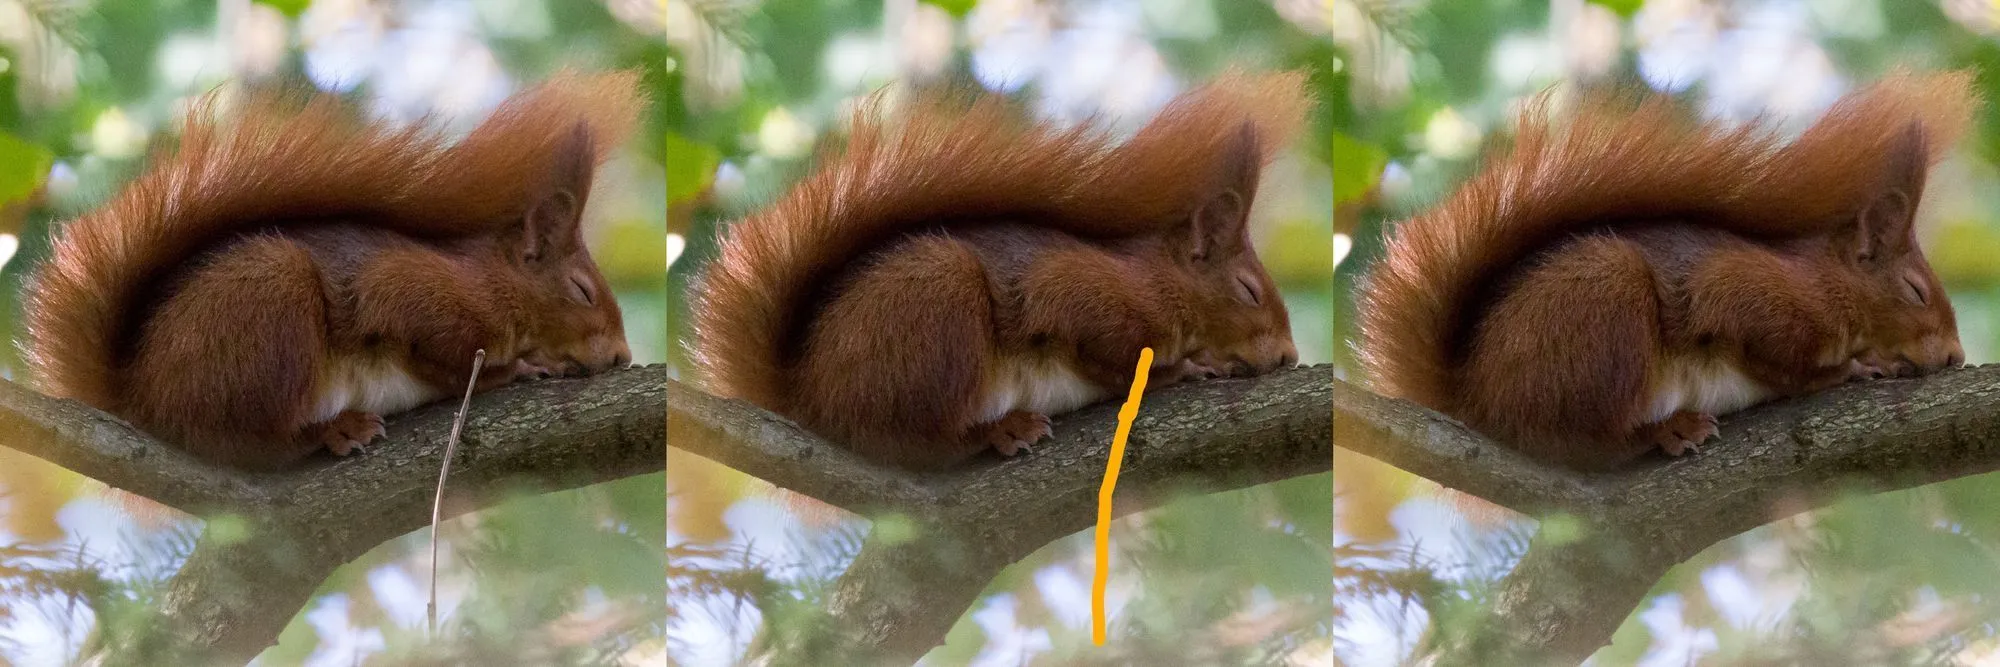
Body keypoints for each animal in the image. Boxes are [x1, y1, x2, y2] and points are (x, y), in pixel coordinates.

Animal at [19, 69, 644, 471]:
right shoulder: (418, 294)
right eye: (582, 291)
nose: (622, 357)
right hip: (268, 302)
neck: (495, 283)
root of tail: (136, 395)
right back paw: (333, 430)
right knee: (244, 442)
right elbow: (441, 358)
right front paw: (521, 369)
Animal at [689, 70, 1312, 470]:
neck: (1162, 284)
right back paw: (999, 430)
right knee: (912, 440)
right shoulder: (1087, 295)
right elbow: (1106, 359)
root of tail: (804, 396)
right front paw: (1184, 370)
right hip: (934, 305)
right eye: (1249, 291)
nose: (1289, 356)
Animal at [1355, 71, 1976, 472]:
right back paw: (1664, 430)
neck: (1828, 284)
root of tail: (1472, 398)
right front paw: (1851, 370)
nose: (1955, 357)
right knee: (1576, 442)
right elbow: (1776, 361)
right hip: (1602, 303)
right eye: (1916, 291)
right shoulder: (1752, 296)